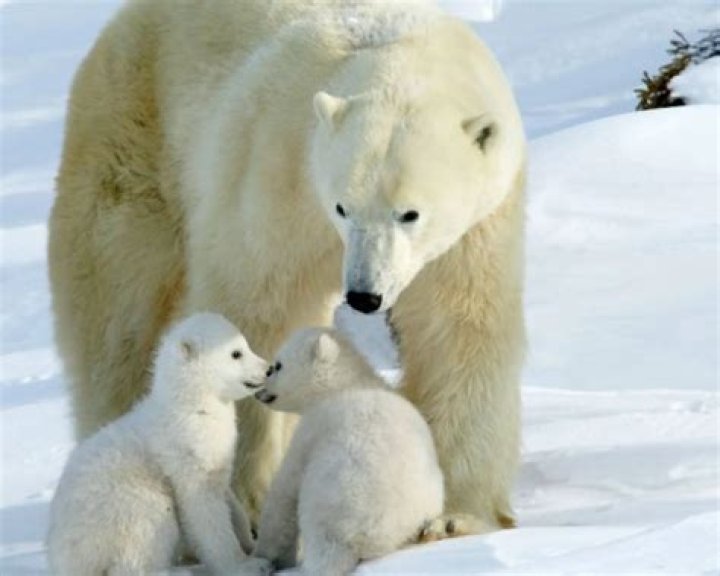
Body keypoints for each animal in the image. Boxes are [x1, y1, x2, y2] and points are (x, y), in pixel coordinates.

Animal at [46, 313, 272, 576]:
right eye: (236, 353)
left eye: (245, 345)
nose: (268, 368)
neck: (191, 405)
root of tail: (63, 560)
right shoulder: (185, 450)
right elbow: (202, 508)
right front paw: (247, 565)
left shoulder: (215, 454)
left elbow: (228, 497)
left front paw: (251, 542)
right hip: (120, 506)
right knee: (144, 532)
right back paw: (177, 571)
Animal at [49, 0, 526, 533]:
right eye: (342, 207)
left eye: (410, 213)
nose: (364, 295)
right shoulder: (278, 170)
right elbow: (256, 307)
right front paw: (250, 499)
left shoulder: (474, 229)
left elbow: (457, 330)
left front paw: (457, 515)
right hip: (133, 144)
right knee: (120, 321)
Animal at [251, 327, 445, 575]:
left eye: (278, 365)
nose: (259, 391)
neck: (349, 383)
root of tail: (370, 537)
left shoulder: (314, 427)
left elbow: (284, 492)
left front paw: (265, 554)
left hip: (332, 508)